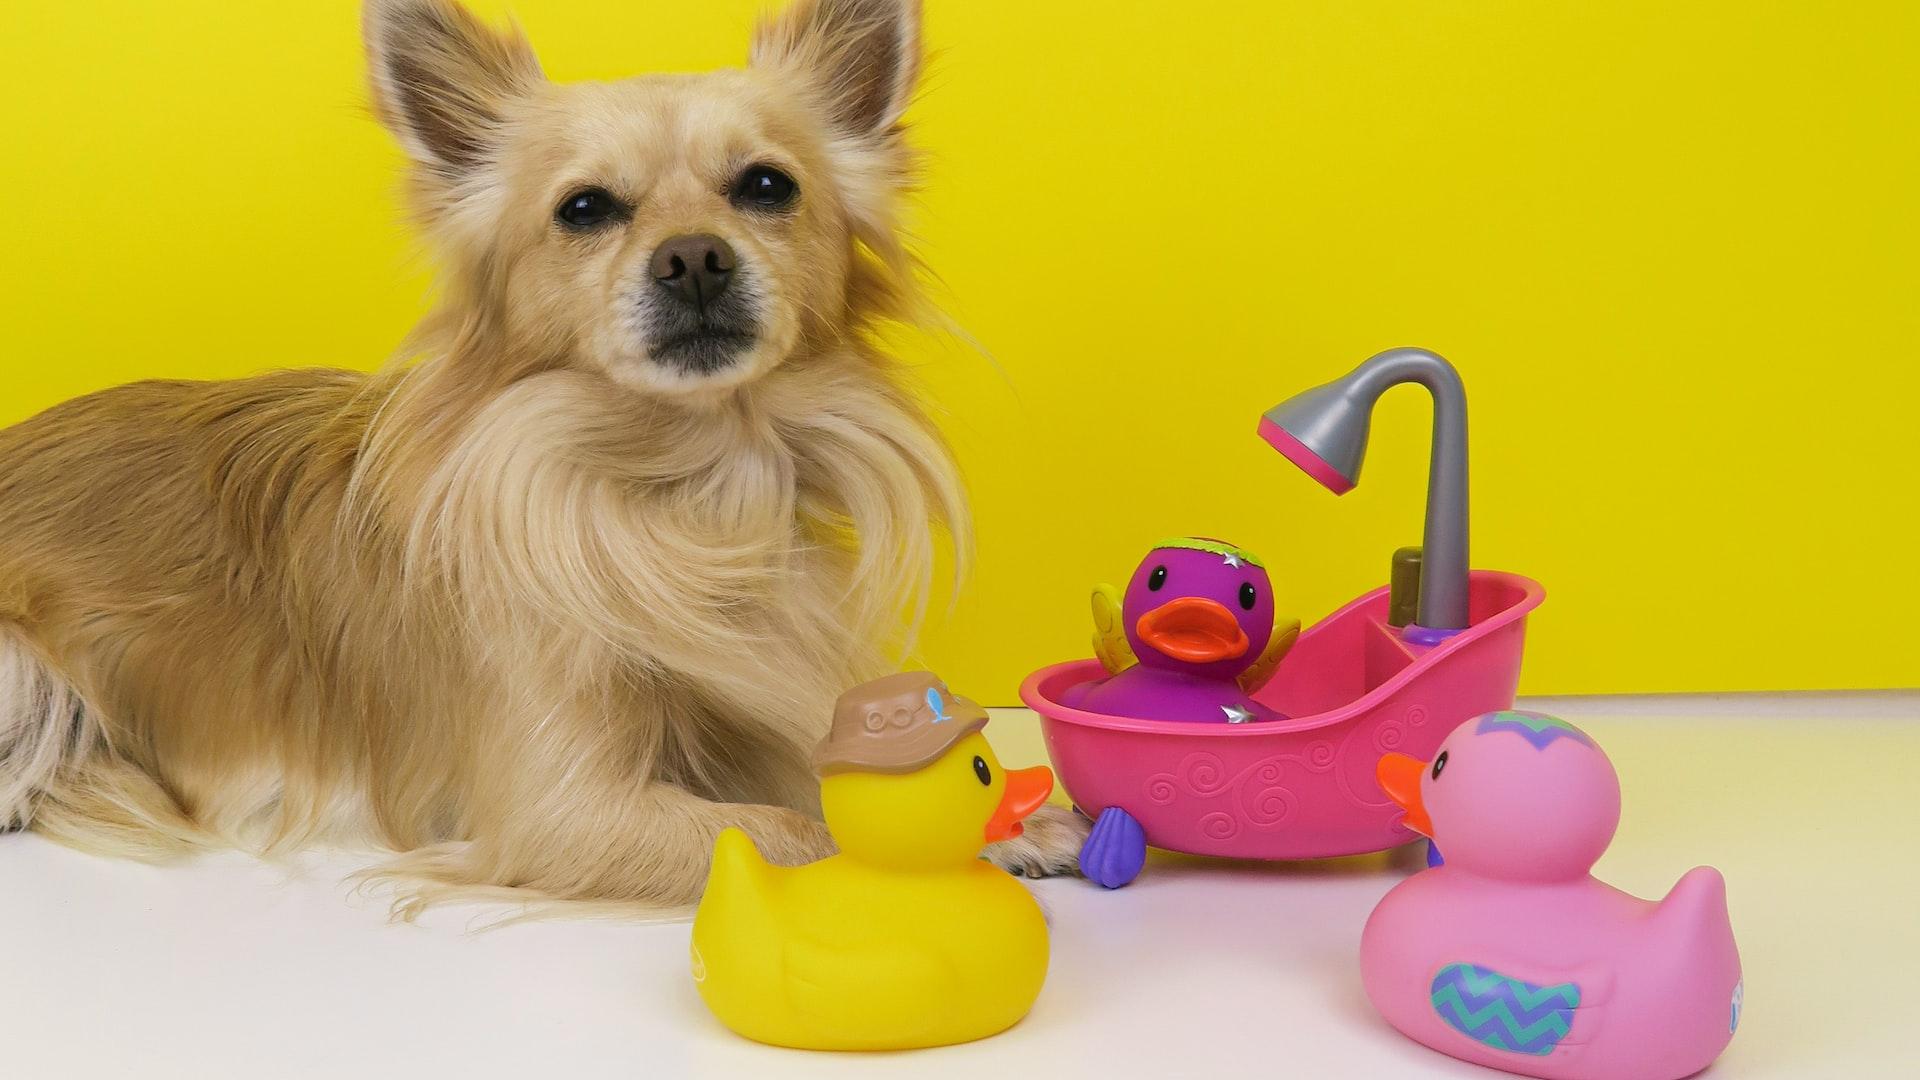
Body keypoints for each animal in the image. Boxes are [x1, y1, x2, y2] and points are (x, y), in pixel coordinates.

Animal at [0, 0, 1082, 907]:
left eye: (769, 188)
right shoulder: (565, 811)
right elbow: (793, 830)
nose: (695, 257)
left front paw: (1014, 820)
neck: (687, 490)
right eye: (585, 210)